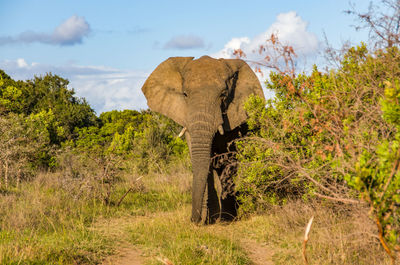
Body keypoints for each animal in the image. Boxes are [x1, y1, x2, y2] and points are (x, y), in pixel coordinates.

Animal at [141, 55, 266, 223]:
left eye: (223, 95)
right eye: (185, 94)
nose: (193, 220)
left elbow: (229, 160)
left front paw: (225, 219)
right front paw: (209, 221)